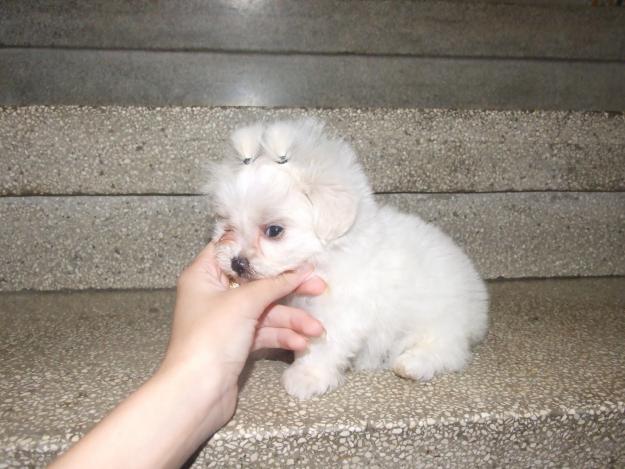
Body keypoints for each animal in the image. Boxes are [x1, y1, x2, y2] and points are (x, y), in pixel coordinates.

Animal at [207, 118, 490, 398]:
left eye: (274, 231)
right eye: (228, 228)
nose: (237, 263)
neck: (328, 256)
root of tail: (477, 306)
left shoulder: (337, 312)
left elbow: (322, 346)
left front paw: (306, 378)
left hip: (440, 320)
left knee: (449, 350)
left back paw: (413, 363)